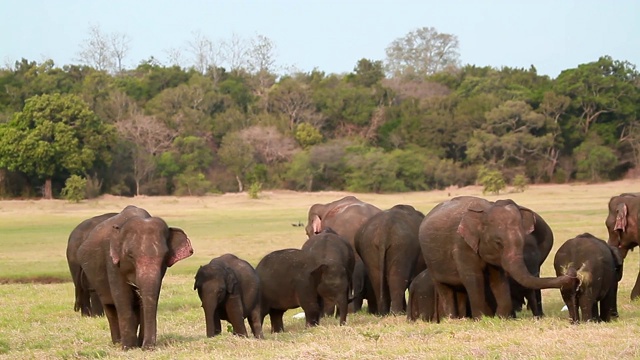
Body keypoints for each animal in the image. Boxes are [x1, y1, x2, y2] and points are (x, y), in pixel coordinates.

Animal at [77, 205, 192, 348]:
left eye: (165, 256)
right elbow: (122, 296)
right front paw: (128, 348)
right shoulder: (112, 261)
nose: (148, 347)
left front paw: (140, 346)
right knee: (109, 306)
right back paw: (118, 342)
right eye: (130, 256)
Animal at [420, 197, 576, 318]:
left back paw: (462, 318)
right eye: (498, 243)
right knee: (444, 288)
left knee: (460, 290)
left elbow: (498, 278)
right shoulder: (462, 245)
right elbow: (473, 278)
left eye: (522, 242)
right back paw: (453, 318)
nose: (571, 276)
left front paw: (501, 317)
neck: (486, 209)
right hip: (431, 261)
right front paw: (481, 319)